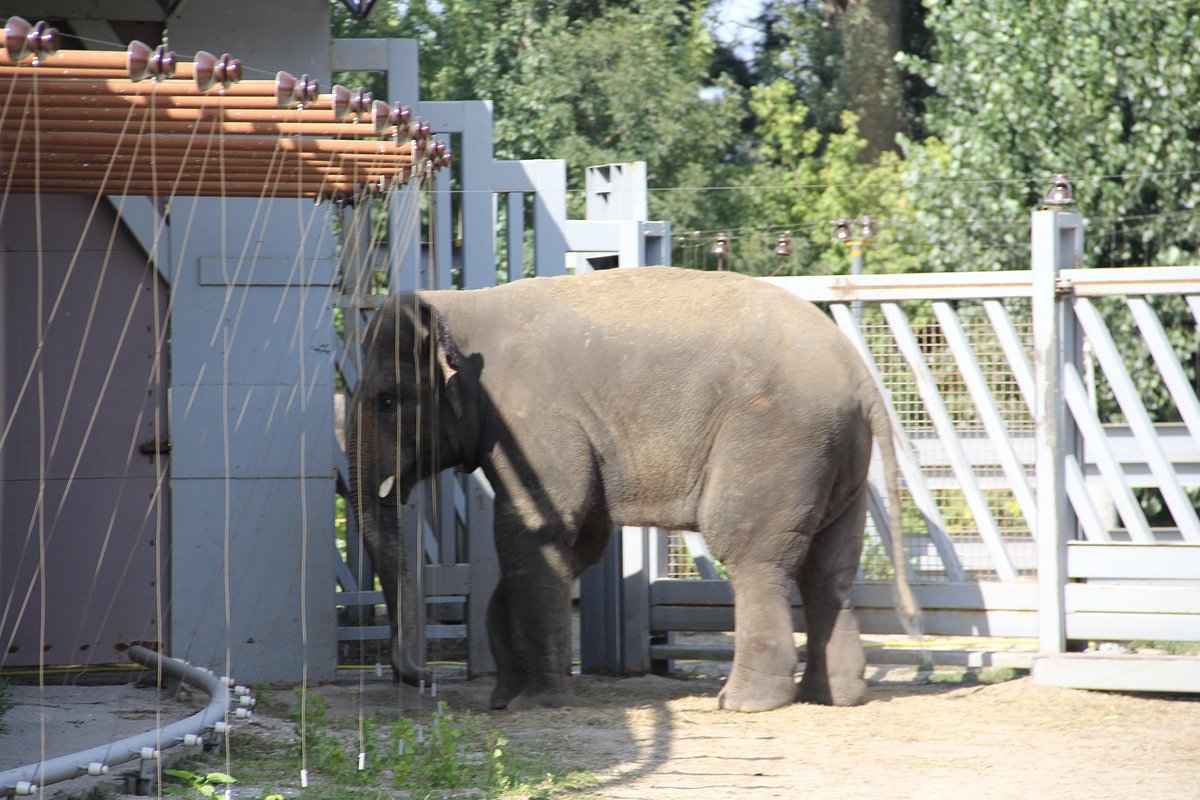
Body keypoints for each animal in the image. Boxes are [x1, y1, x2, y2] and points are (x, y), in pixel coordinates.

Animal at [348, 267, 916, 714]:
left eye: (386, 401)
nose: (426, 679)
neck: (460, 306)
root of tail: (862, 378)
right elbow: (574, 542)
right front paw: (504, 700)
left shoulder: (534, 419)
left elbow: (534, 528)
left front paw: (538, 704)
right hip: (839, 456)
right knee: (829, 569)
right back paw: (834, 698)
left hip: (779, 440)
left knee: (753, 555)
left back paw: (743, 703)